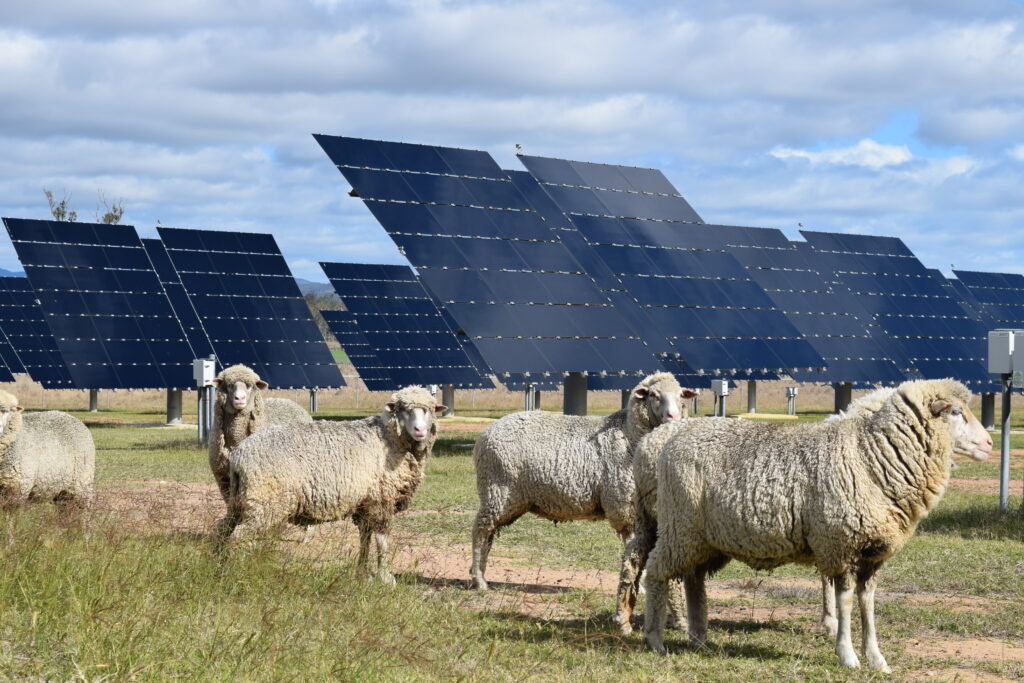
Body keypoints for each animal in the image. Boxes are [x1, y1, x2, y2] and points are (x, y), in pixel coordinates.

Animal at [207, 364, 313, 504]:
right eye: (229, 385)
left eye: (250, 386)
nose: (239, 398)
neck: (236, 440)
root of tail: (290, 402)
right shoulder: (222, 477)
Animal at [220, 386, 445, 584]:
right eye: (403, 409)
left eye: (430, 409)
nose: (420, 430)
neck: (388, 439)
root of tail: (239, 455)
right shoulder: (381, 499)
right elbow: (382, 540)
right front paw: (386, 578)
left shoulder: (365, 502)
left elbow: (365, 538)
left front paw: (362, 573)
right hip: (265, 503)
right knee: (240, 536)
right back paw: (237, 573)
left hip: (242, 500)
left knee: (225, 529)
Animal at [469, 372, 697, 590]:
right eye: (653, 395)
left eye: (680, 395)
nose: (673, 416)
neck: (629, 434)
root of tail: (486, 434)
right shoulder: (626, 507)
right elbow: (634, 548)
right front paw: (637, 586)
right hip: (497, 490)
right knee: (481, 531)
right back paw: (479, 581)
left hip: (510, 499)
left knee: (489, 535)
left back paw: (480, 575)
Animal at [641, 379, 992, 672]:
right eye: (956, 412)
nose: (989, 444)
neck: (871, 457)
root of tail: (673, 438)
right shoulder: (840, 544)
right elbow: (846, 601)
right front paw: (847, 654)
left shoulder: (872, 552)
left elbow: (868, 604)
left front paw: (877, 659)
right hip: (679, 527)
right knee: (655, 573)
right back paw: (655, 639)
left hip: (704, 539)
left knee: (693, 580)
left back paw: (699, 638)